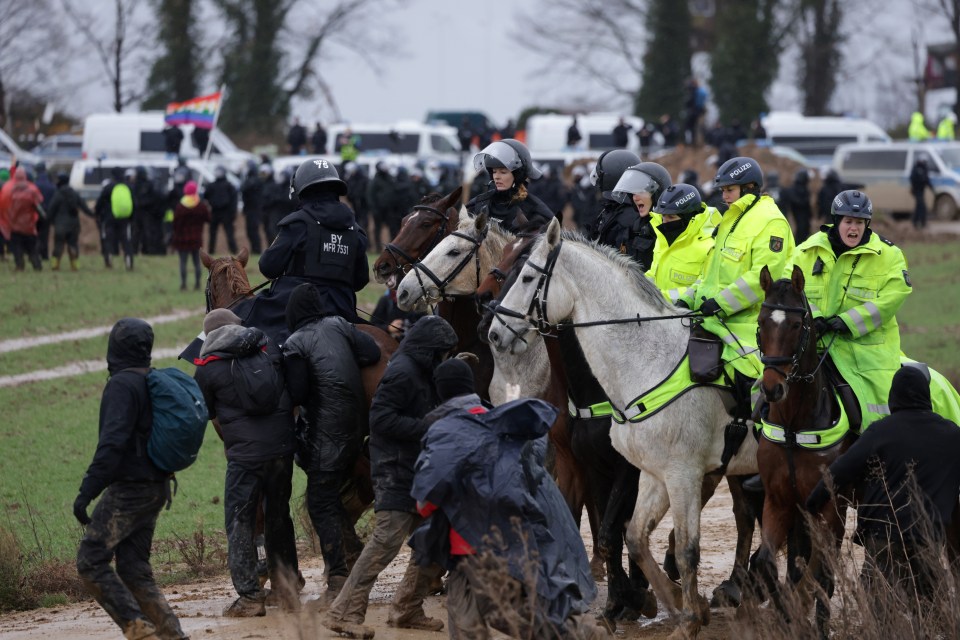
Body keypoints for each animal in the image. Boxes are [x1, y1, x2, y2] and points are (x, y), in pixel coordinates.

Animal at [492, 218, 760, 636]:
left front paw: (684, 617)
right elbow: (634, 537)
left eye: (527, 277)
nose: (494, 332)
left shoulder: (681, 473)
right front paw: (676, 603)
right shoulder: (651, 472)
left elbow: (686, 549)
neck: (649, 362)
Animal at [752, 264, 856, 636]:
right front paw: (786, 614)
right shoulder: (779, 501)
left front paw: (805, 616)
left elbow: (818, 573)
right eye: (761, 321)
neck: (796, 425)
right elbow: (767, 563)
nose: (772, 388)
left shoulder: (830, 507)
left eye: (797, 325)